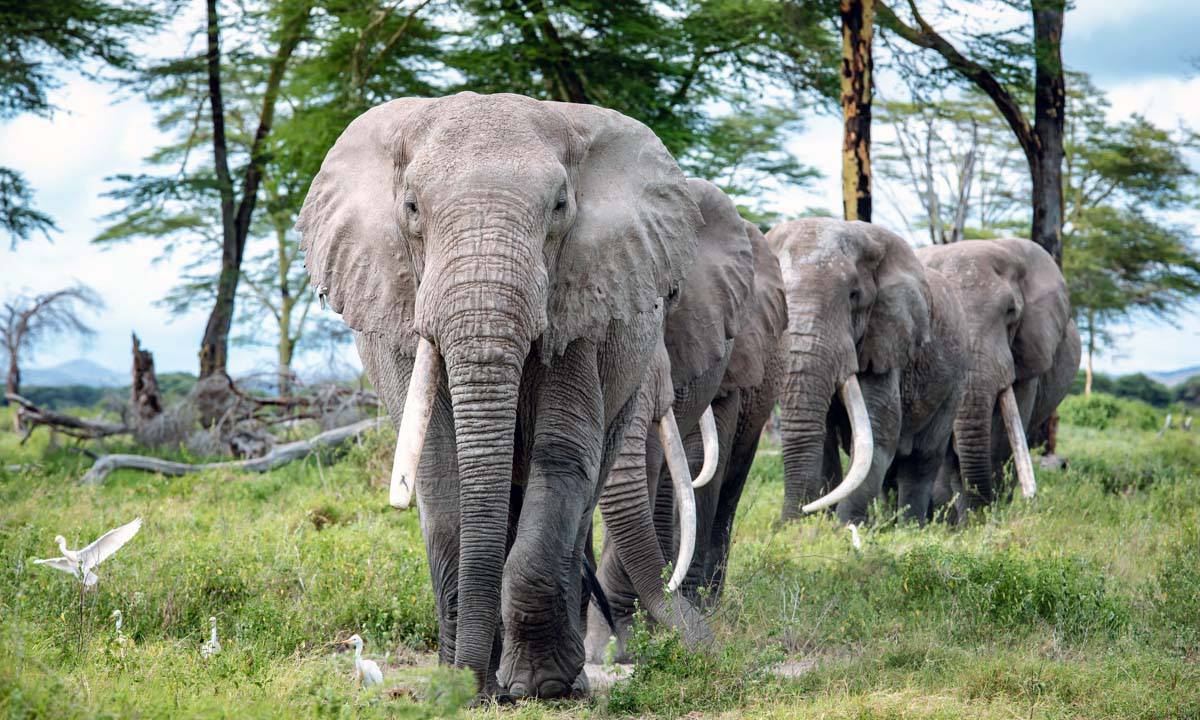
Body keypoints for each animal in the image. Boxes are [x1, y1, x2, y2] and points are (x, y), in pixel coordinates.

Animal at [297, 92, 708, 698]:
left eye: (560, 206)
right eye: (412, 207)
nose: (464, 690)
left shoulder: (578, 303)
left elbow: (561, 458)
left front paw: (538, 689)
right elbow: (440, 468)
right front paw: (461, 685)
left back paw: (559, 680)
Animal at [766, 218, 969, 525]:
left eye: (854, 296)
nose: (790, 520)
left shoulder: (887, 338)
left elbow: (880, 431)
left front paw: (842, 528)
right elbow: (825, 440)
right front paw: (815, 526)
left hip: (954, 384)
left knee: (922, 458)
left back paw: (910, 527)